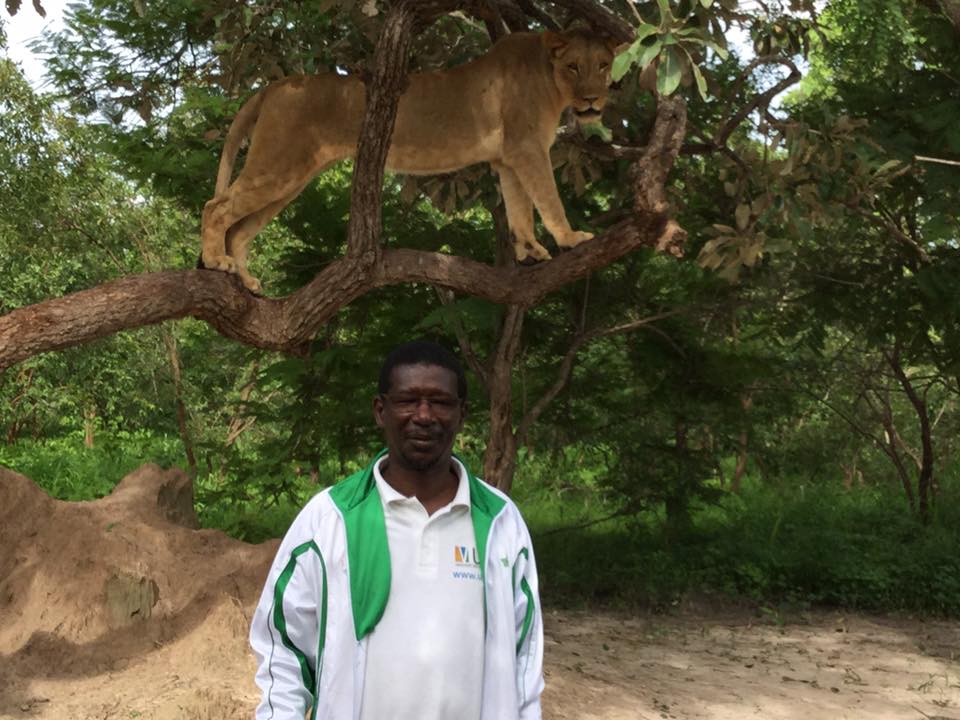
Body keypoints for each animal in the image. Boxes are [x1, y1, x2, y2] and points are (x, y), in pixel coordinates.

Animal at [202, 28, 624, 292]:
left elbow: (520, 208)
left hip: (292, 178)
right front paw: (570, 238)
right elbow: (548, 199)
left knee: (239, 230)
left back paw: (245, 282)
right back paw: (215, 261)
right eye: (573, 66)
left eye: (603, 65)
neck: (549, 77)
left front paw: (530, 251)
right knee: (215, 206)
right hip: (280, 164)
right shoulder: (527, 148)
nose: (591, 100)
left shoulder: (508, 158)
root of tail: (276, 85)